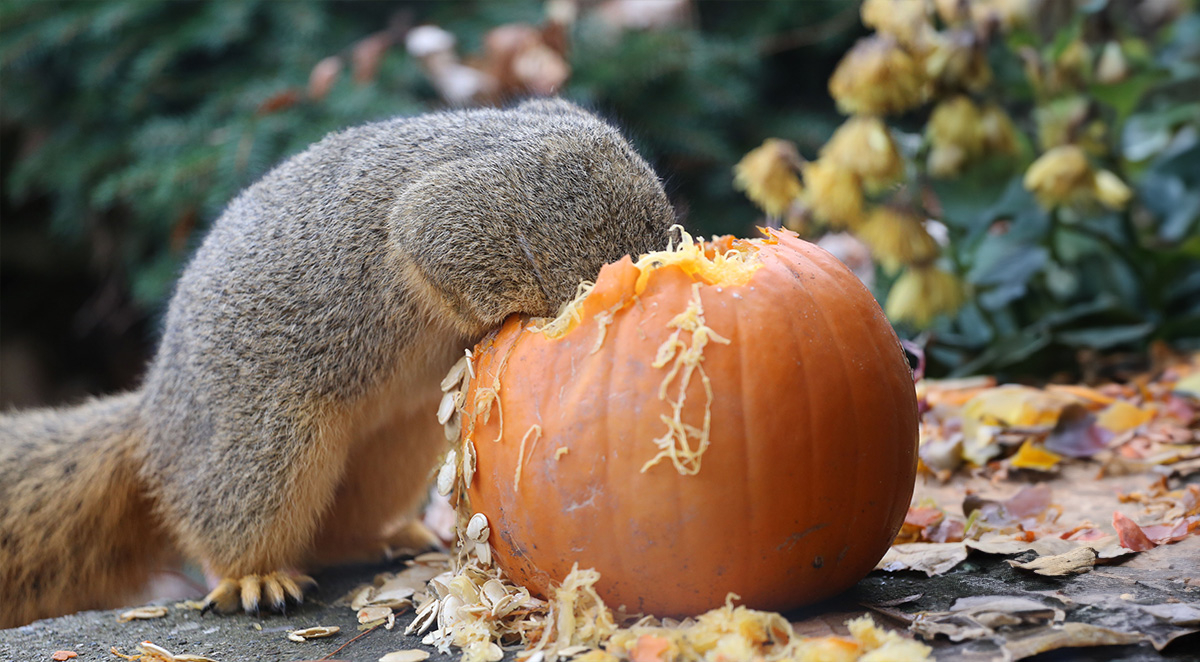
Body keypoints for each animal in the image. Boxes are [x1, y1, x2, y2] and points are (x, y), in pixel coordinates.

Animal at [0, 98, 676, 628]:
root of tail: (156, 413)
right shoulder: (464, 213)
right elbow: (430, 238)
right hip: (262, 442)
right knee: (227, 519)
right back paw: (253, 578)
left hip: (392, 449)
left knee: (341, 526)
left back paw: (392, 537)